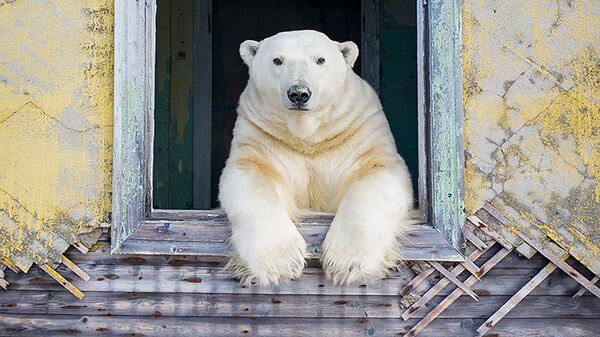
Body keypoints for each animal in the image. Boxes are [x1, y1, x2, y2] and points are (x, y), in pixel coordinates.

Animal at [219, 29, 412, 286]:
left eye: (320, 60)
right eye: (277, 60)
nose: (299, 93)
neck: (308, 137)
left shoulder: (359, 131)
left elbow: (376, 175)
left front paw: (347, 263)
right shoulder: (261, 136)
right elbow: (251, 177)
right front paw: (280, 263)